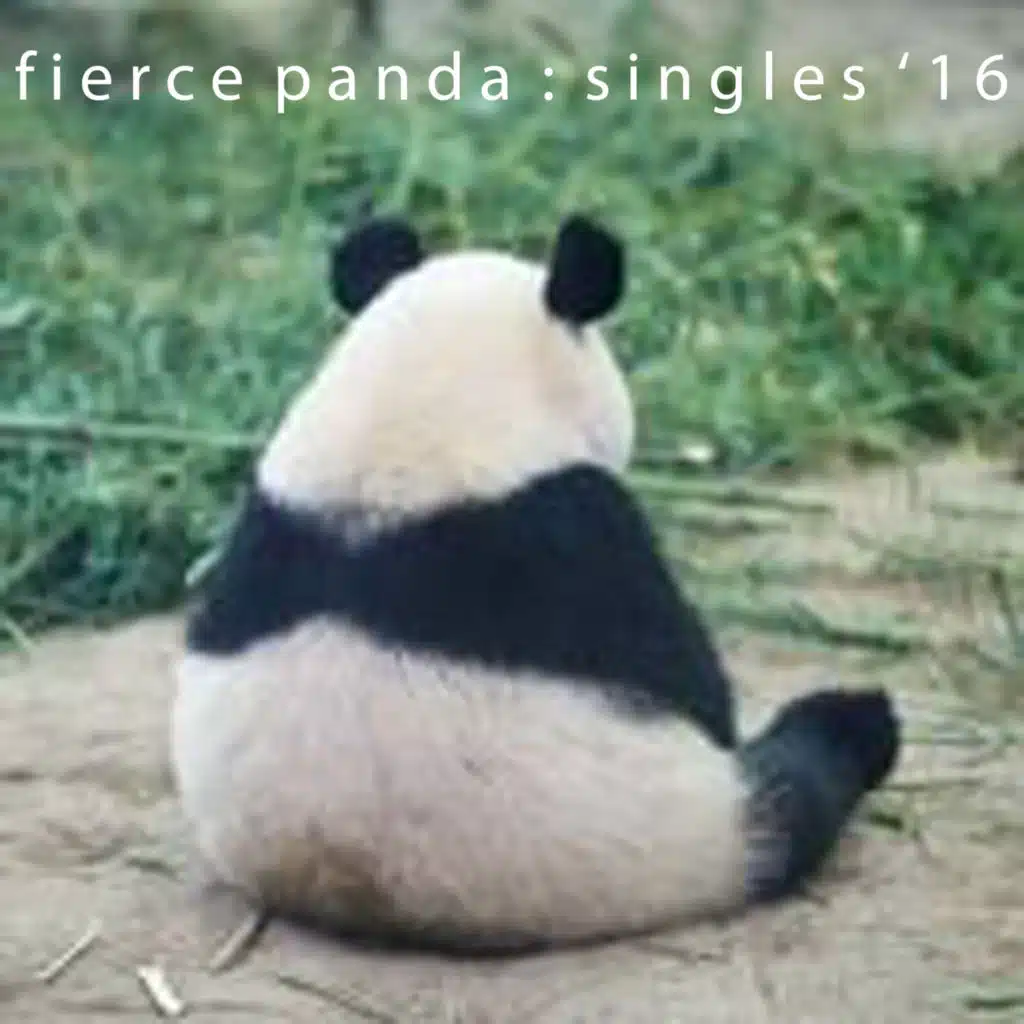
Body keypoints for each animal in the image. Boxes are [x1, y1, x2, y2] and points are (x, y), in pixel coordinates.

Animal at [171, 211, 902, 954]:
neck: (424, 400)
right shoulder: (576, 530)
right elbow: (687, 680)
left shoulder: (268, 518)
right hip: (693, 832)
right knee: (802, 784)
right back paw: (858, 719)